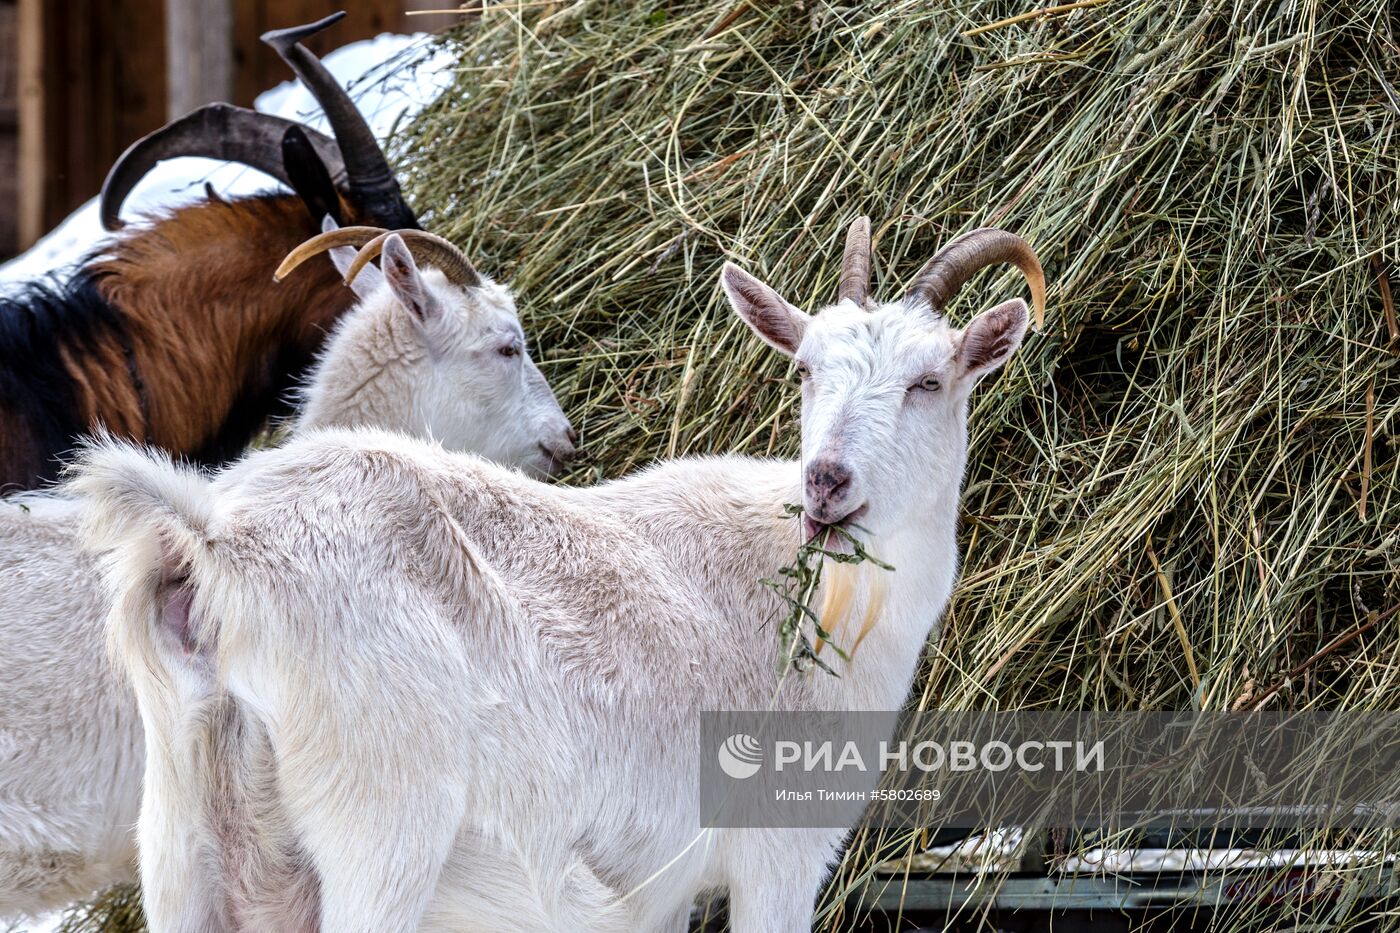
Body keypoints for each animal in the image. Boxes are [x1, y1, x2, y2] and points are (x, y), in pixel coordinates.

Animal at [73, 219, 1041, 930]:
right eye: (805, 370)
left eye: (929, 379)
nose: (827, 483)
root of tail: (215, 542)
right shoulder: (778, 852)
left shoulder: (660, 885)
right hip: (379, 833)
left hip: (183, 845)